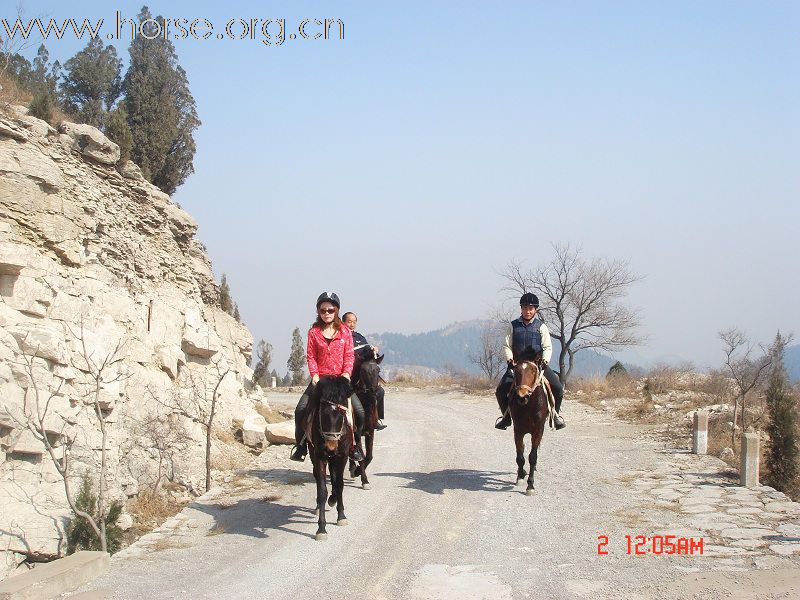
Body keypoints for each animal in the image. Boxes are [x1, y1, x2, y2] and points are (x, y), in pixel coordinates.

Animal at [306, 376, 354, 540]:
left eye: (342, 415)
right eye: (322, 414)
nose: (331, 447)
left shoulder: (342, 457)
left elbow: (339, 485)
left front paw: (342, 516)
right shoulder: (320, 457)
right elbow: (322, 490)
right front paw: (321, 528)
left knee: (334, 479)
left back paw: (333, 500)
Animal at [348, 352, 386, 488]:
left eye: (378, 370)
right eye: (363, 370)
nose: (373, 391)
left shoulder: (370, 432)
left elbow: (368, 456)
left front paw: (359, 472)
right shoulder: (357, 432)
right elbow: (362, 456)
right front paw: (364, 479)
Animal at [510, 354, 552, 494]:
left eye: (533, 371)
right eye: (516, 370)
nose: (522, 396)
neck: (528, 406)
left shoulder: (538, 431)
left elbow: (532, 457)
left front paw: (530, 485)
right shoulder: (518, 430)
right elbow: (520, 456)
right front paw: (520, 477)